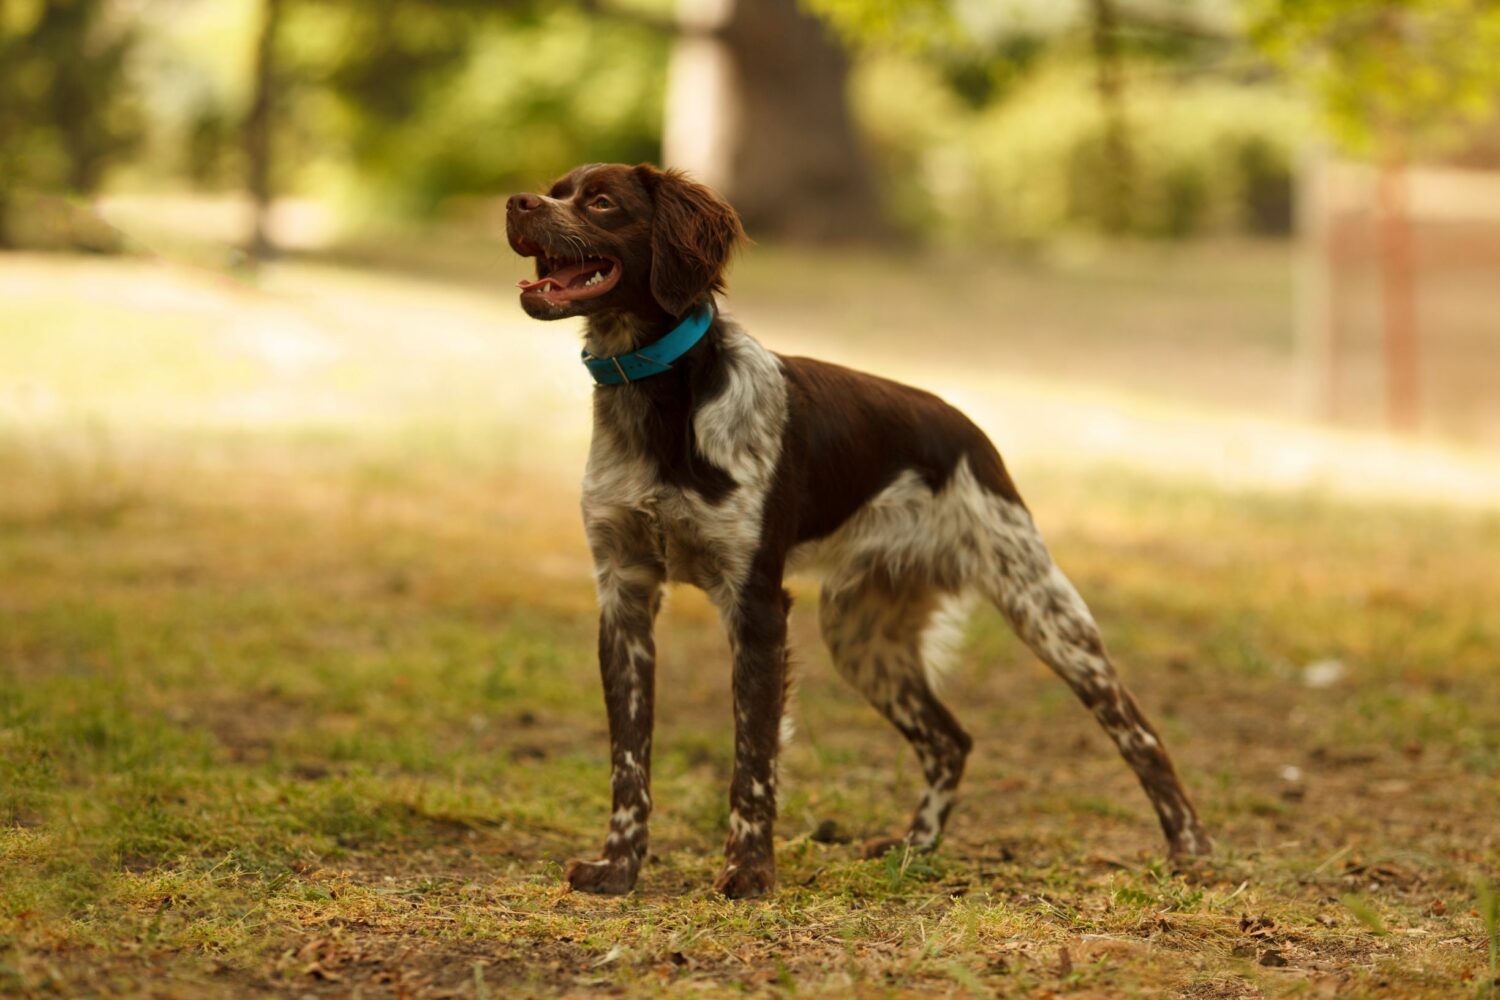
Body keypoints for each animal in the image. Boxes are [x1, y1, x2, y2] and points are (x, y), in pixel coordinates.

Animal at [504, 162, 1206, 899]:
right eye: (555, 188)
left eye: (601, 202)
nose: (516, 203)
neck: (658, 400)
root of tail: (968, 428)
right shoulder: (624, 596)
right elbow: (629, 758)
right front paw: (618, 866)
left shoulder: (755, 605)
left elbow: (753, 757)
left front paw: (749, 871)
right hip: (860, 633)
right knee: (951, 740)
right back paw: (914, 848)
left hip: (1043, 610)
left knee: (1139, 732)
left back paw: (1189, 848)